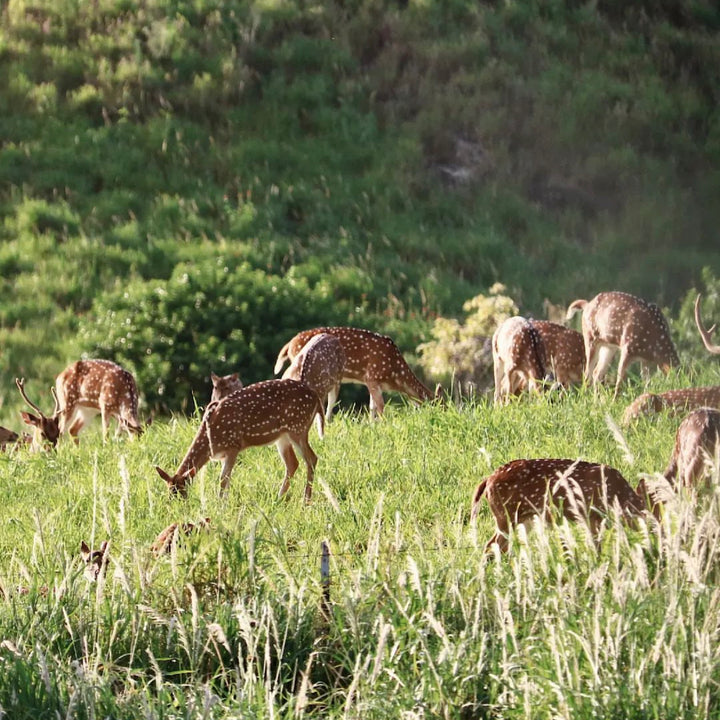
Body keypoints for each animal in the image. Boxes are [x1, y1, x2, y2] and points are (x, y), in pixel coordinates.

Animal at [158, 380, 326, 504]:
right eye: (169, 493)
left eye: (181, 493)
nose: (176, 508)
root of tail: (316, 396)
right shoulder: (224, 454)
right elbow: (226, 479)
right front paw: (224, 503)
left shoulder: (234, 446)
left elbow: (223, 478)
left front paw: (220, 505)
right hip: (283, 437)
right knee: (293, 463)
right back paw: (278, 499)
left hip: (298, 427)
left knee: (312, 458)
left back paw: (305, 501)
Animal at [274, 324, 434, 420]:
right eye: (437, 404)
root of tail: (290, 344)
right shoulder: (372, 376)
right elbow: (380, 406)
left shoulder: (372, 383)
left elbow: (372, 406)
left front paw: (371, 425)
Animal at [472, 458, 648, 556]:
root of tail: (487, 480)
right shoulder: (591, 515)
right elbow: (596, 546)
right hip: (506, 516)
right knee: (491, 545)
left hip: (523, 518)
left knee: (501, 547)